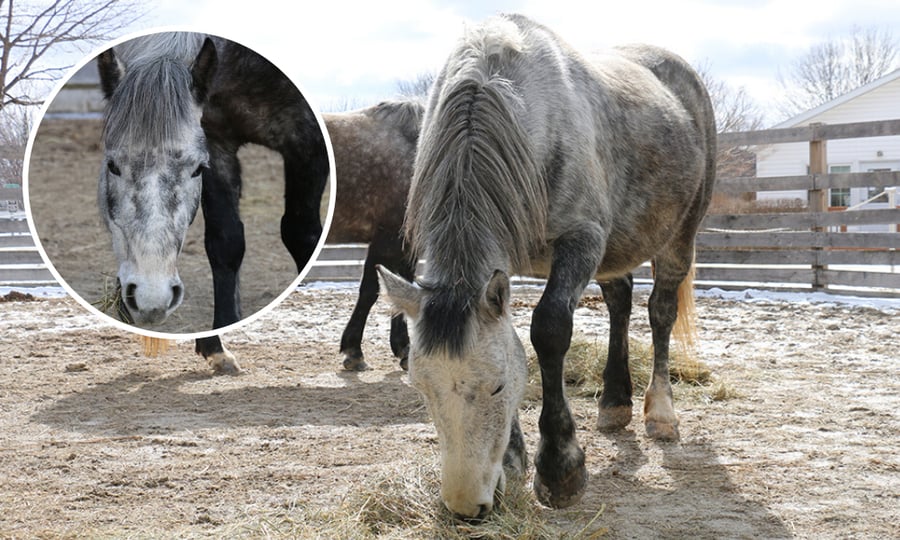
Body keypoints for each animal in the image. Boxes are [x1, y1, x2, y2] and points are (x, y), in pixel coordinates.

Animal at [97, 32, 329, 372]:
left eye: (195, 169)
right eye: (113, 165)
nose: (150, 299)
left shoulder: (307, 140)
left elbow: (300, 234)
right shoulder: (216, 144)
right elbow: (226, 243)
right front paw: (217, 344)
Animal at [378, 14, 716, 518]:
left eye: (499, 388)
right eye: (421, 388)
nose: (466, 507)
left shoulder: (581, 240)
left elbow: (549, 330)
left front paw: (560, 471)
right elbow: (515, 336)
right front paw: (514, 460)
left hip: (679, 236)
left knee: (660, 313)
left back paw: (660, 413)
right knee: (619, 304)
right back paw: (614, 404)